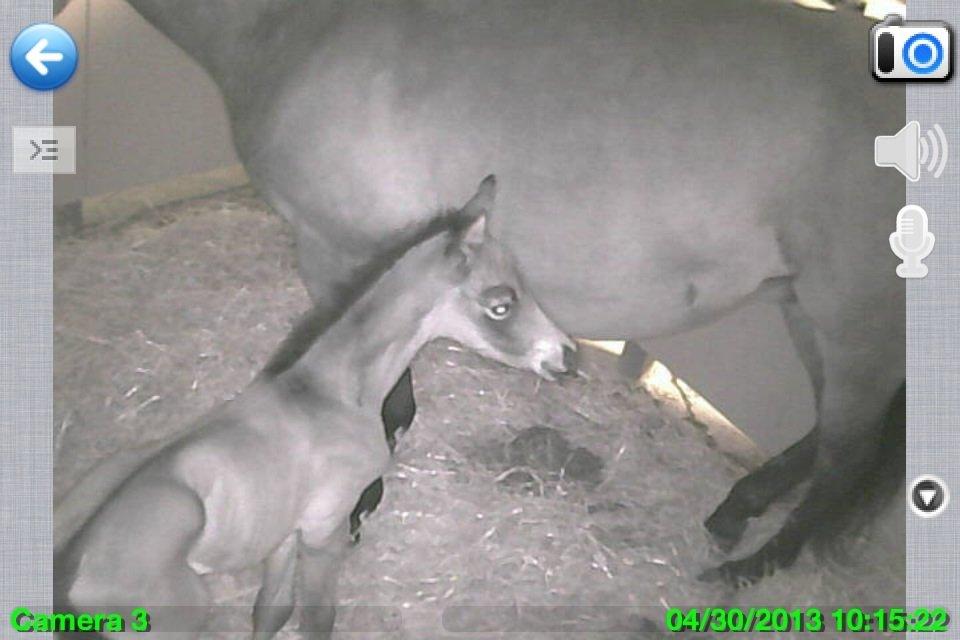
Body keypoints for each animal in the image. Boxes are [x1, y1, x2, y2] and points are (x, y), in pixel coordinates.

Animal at [56, 175, 572, 636]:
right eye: (501, 304)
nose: (568, 357)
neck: (328, 394)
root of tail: (73, 567)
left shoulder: (286, 532)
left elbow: (271, 611)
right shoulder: (327, 526)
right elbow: (317, 618)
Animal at [116, 0, 904, 584]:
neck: (300, 26)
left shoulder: (337, 250)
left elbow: (377, 384)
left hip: (856, 323)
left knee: (846, 456)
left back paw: (749, 569)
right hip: (804, 309)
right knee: (827, 437)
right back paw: (734, 515)